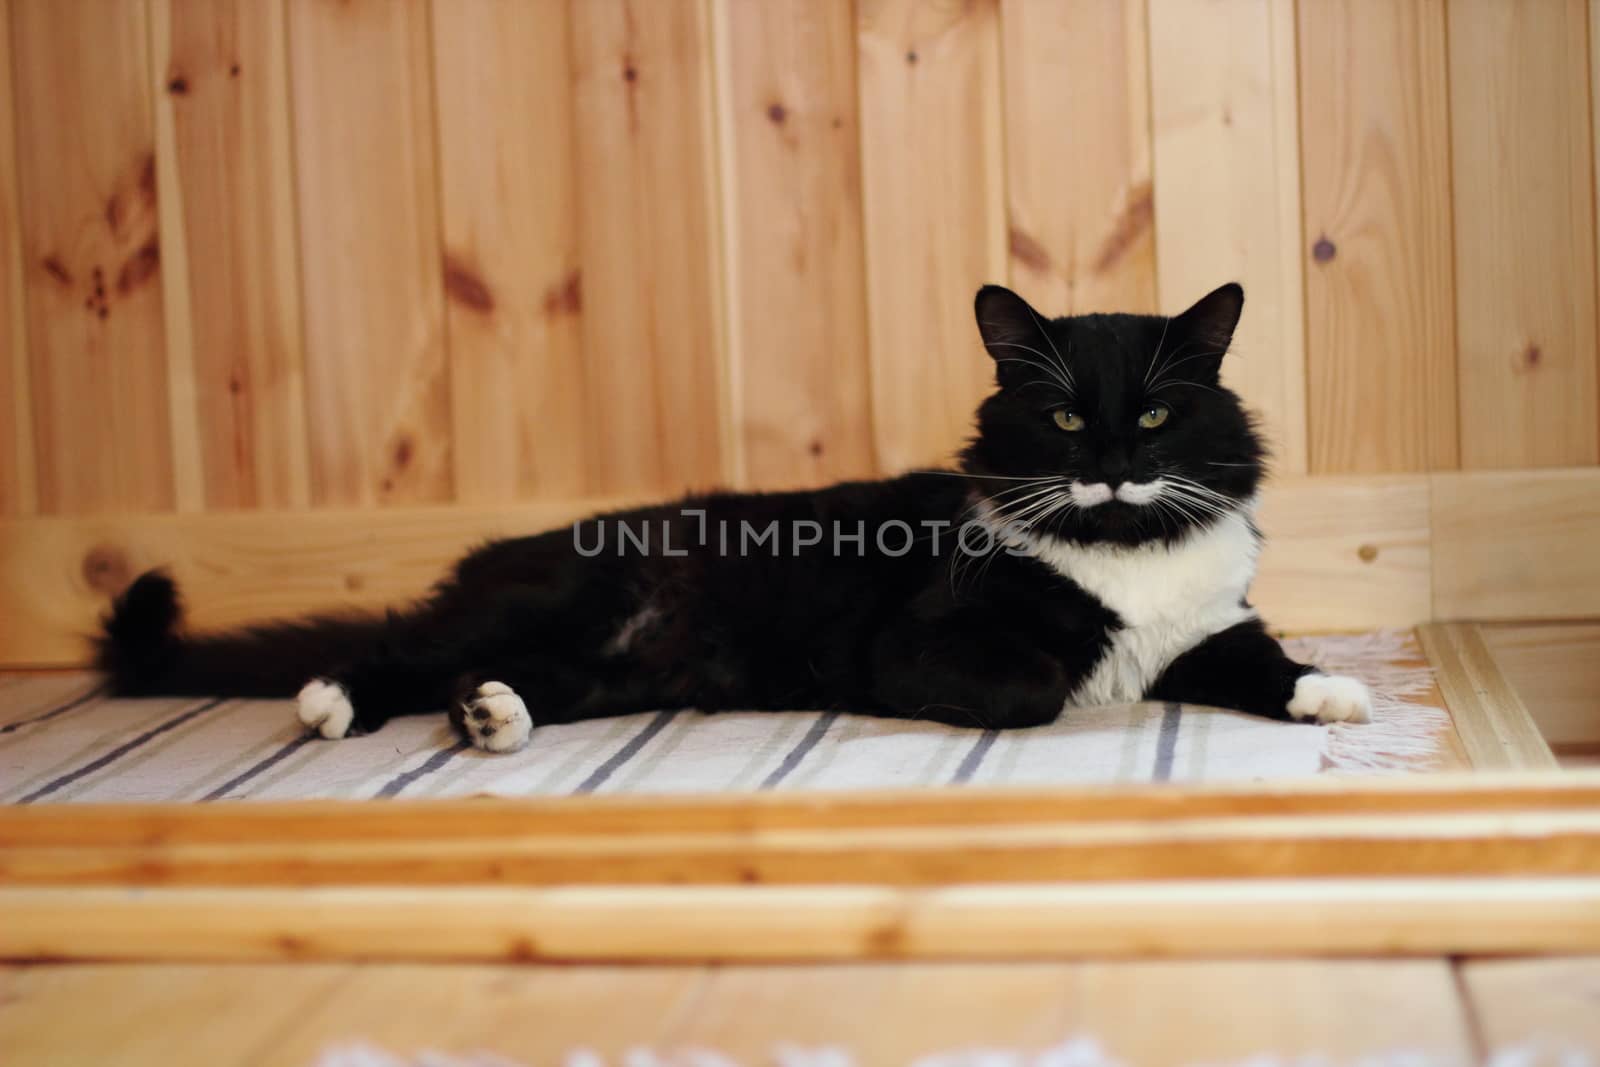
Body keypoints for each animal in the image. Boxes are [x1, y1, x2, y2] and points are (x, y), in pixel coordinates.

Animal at [100, 279, 1369, 755]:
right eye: (1060, 418)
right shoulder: (924, 634)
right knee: (401, 647)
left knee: (485, 675)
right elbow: (1031, 683)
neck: (1121, 557)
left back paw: (491, 717)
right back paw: (336, 700)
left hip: (612, 667)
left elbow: (1269, 663)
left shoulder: (1210, 627)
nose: (1107, 465)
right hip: (557, 599)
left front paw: (1335, 695)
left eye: (1153, 414)